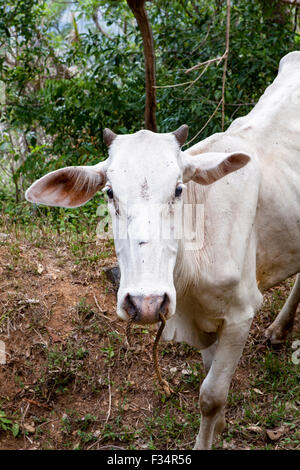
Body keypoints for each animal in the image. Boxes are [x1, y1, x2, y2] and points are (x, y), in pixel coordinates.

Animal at [25, 51, 300, 448]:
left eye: (178, 189)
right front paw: (219, 429)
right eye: (110, 192)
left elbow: (211, 395)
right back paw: (281, 328)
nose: (146, 303)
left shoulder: (240, 313)